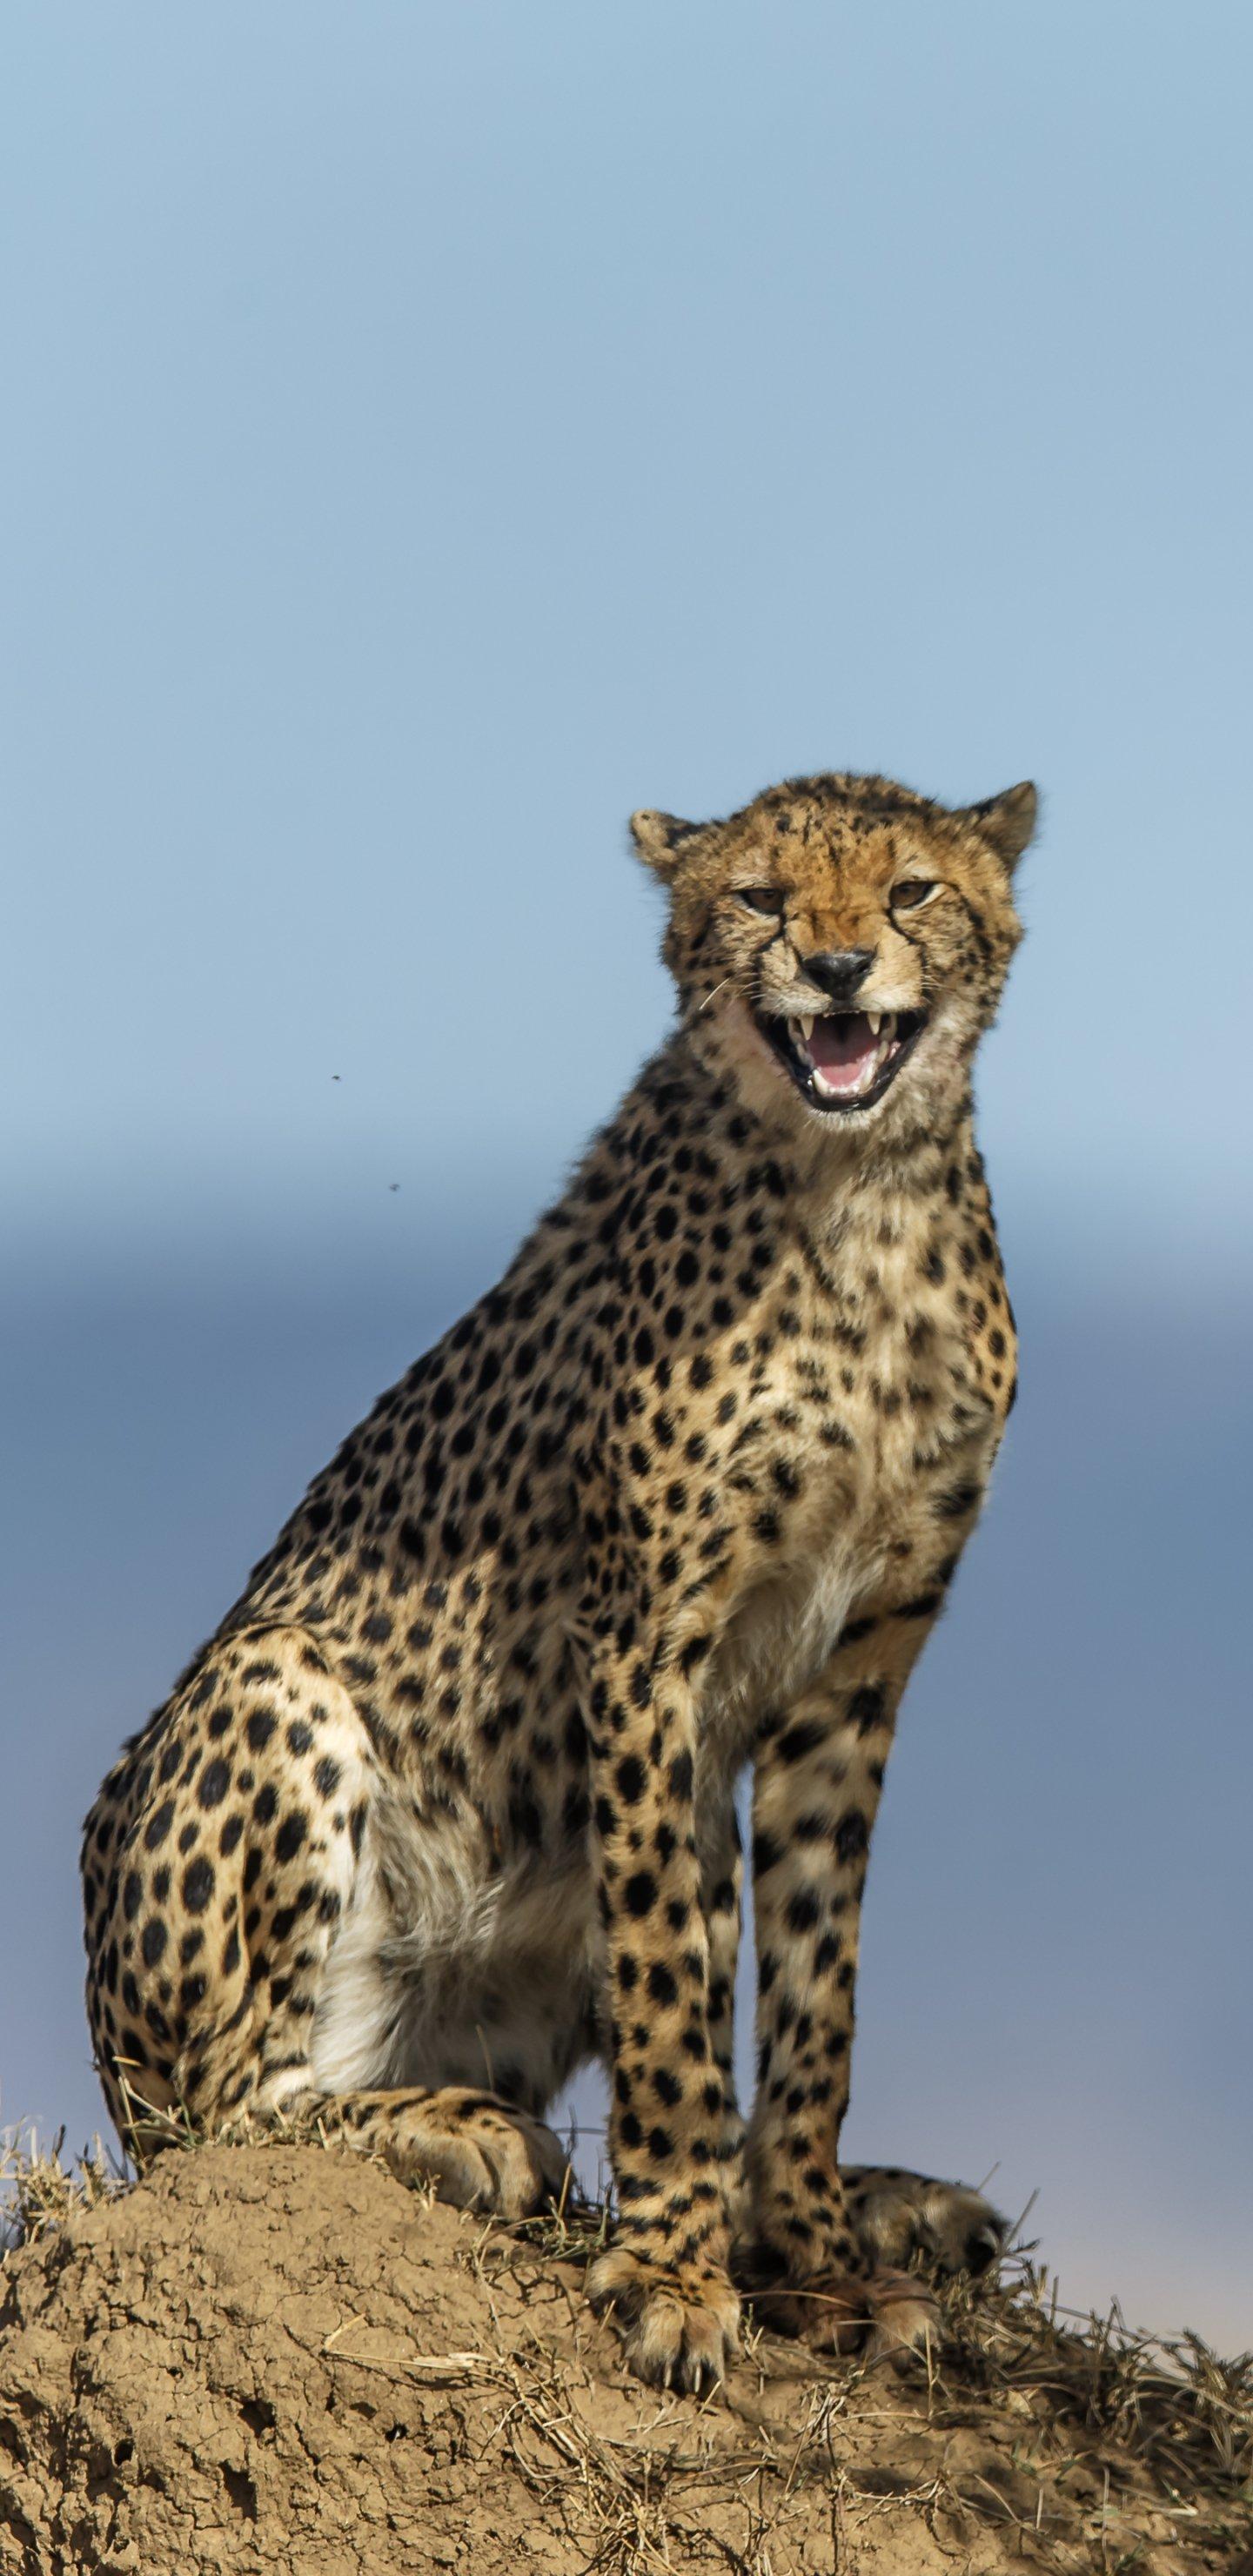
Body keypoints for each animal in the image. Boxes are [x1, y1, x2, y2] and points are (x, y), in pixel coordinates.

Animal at [81, 766, 1037, 2392]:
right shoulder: (647, 1642)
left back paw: (886, 2202)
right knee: (233, 2110)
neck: (859, 1196)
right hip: (273, 1697)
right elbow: (661, 1983)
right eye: (764, 898)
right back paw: (459, 2134)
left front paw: (814, 2261)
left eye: (912, 890)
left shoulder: (859, 1667)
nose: (840, 968)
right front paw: (674, 2273)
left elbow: (815, 1993)